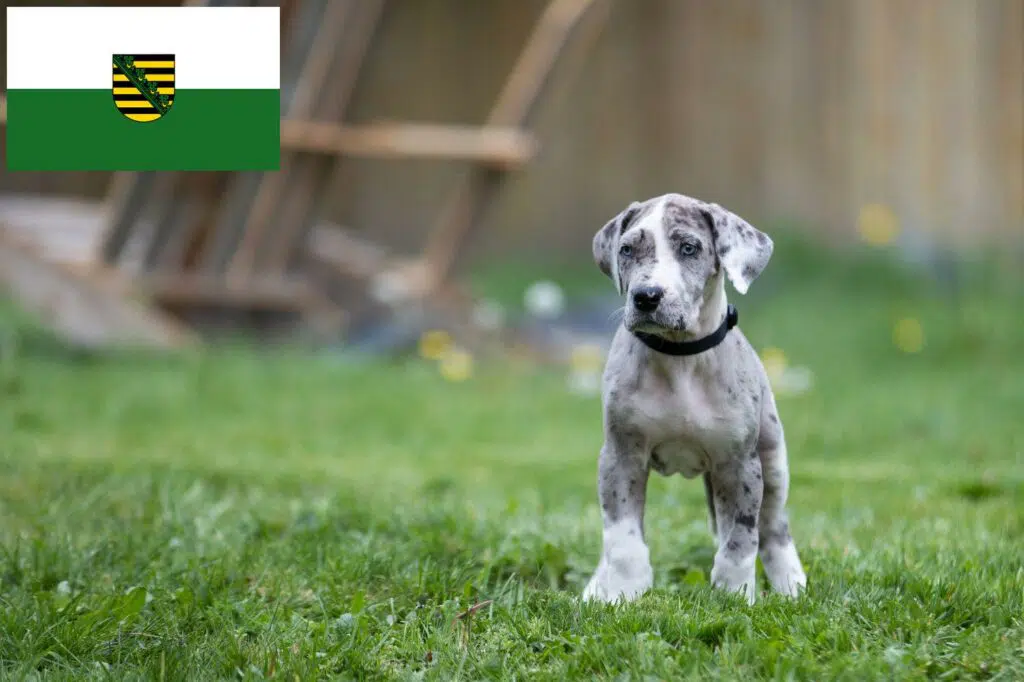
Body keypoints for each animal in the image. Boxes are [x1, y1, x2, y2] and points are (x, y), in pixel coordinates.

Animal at [585, 191, 806, 602]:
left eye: (688, 248)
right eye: (626, 249)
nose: (646, 296)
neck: (680, 357)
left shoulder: (739, 466)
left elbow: (740, 540)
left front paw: (734, 595)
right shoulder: (621, 457)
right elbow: (623, 539)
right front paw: (623, 593)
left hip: (773, 461)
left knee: (772, 527)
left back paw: (791, 584)